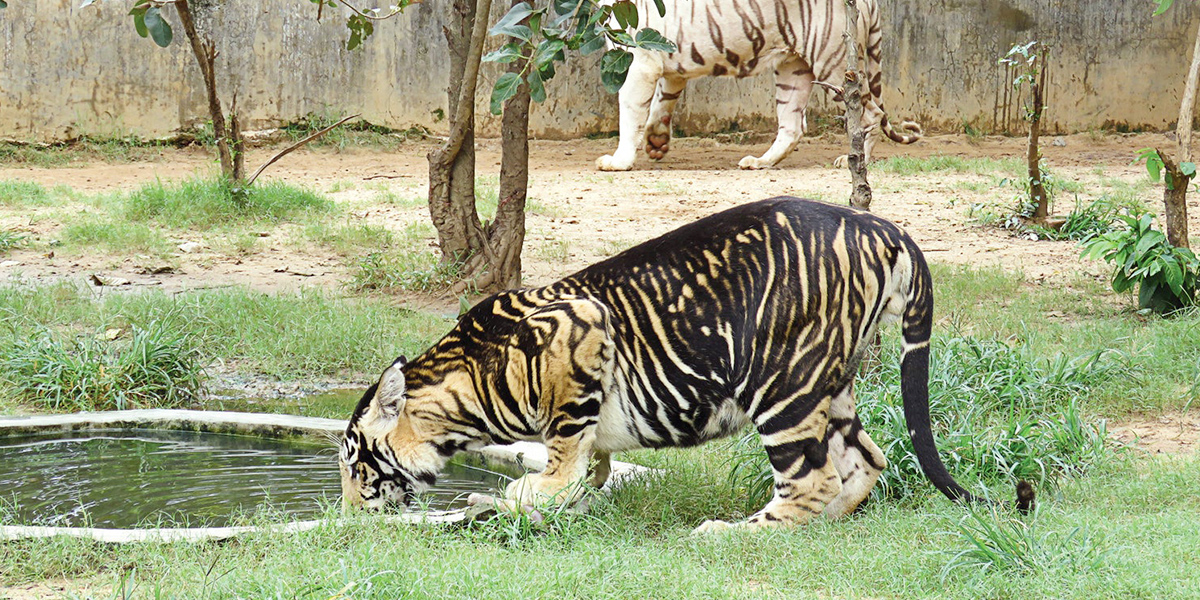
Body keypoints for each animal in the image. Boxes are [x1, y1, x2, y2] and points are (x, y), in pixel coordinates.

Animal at [595, 0, 921, 171]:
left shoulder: (640, 60)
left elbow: (630, 112)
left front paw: (619, 160)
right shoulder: (667, 64)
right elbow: (661, 102)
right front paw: (657, 143)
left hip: (834, 63)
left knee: (870, 114)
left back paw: (854, 159)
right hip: (793, 70)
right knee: (793, 127)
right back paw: (760, 161)